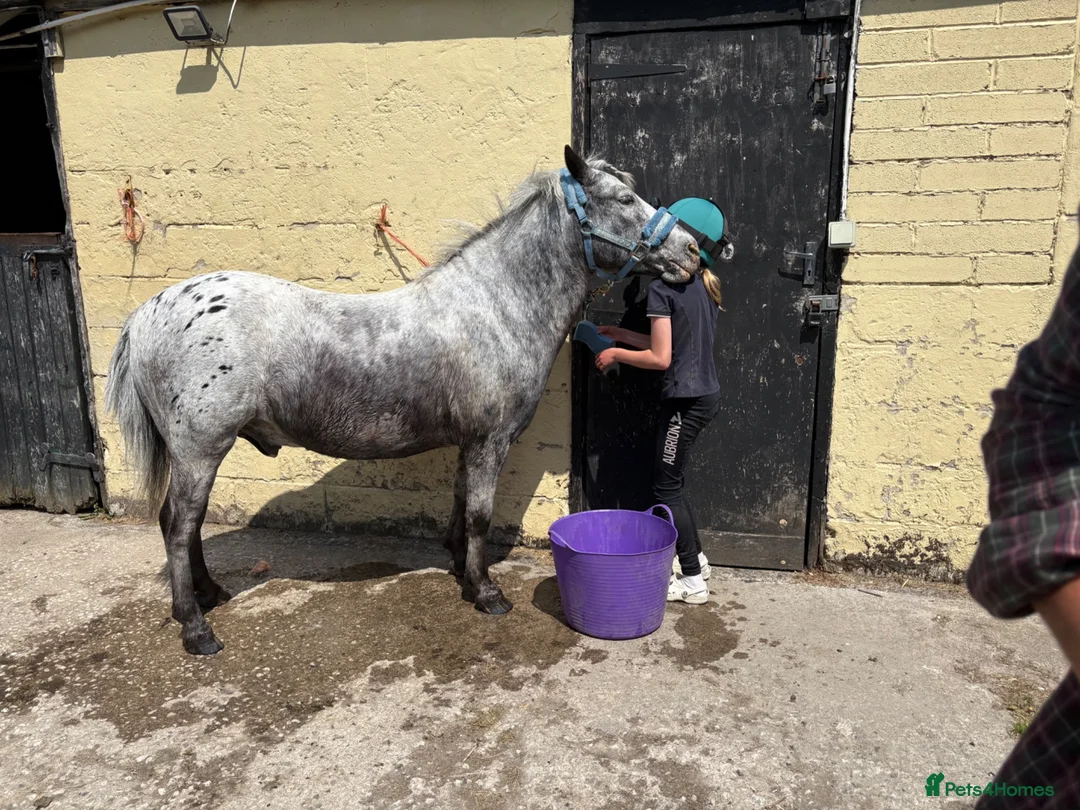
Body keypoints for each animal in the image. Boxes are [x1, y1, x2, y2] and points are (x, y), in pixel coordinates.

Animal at [105, 145, 700, 655]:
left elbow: (460, 506)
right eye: (623, 199)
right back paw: (195, 626)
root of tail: (147, 313)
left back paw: (209, 595)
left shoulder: (470, 443)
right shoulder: (489, 442)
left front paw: (463, 571)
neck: (496, 307)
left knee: (185, 524)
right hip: (201, 448)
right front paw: (487, 593)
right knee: (179, 523)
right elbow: (480, 514)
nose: (692, 252)